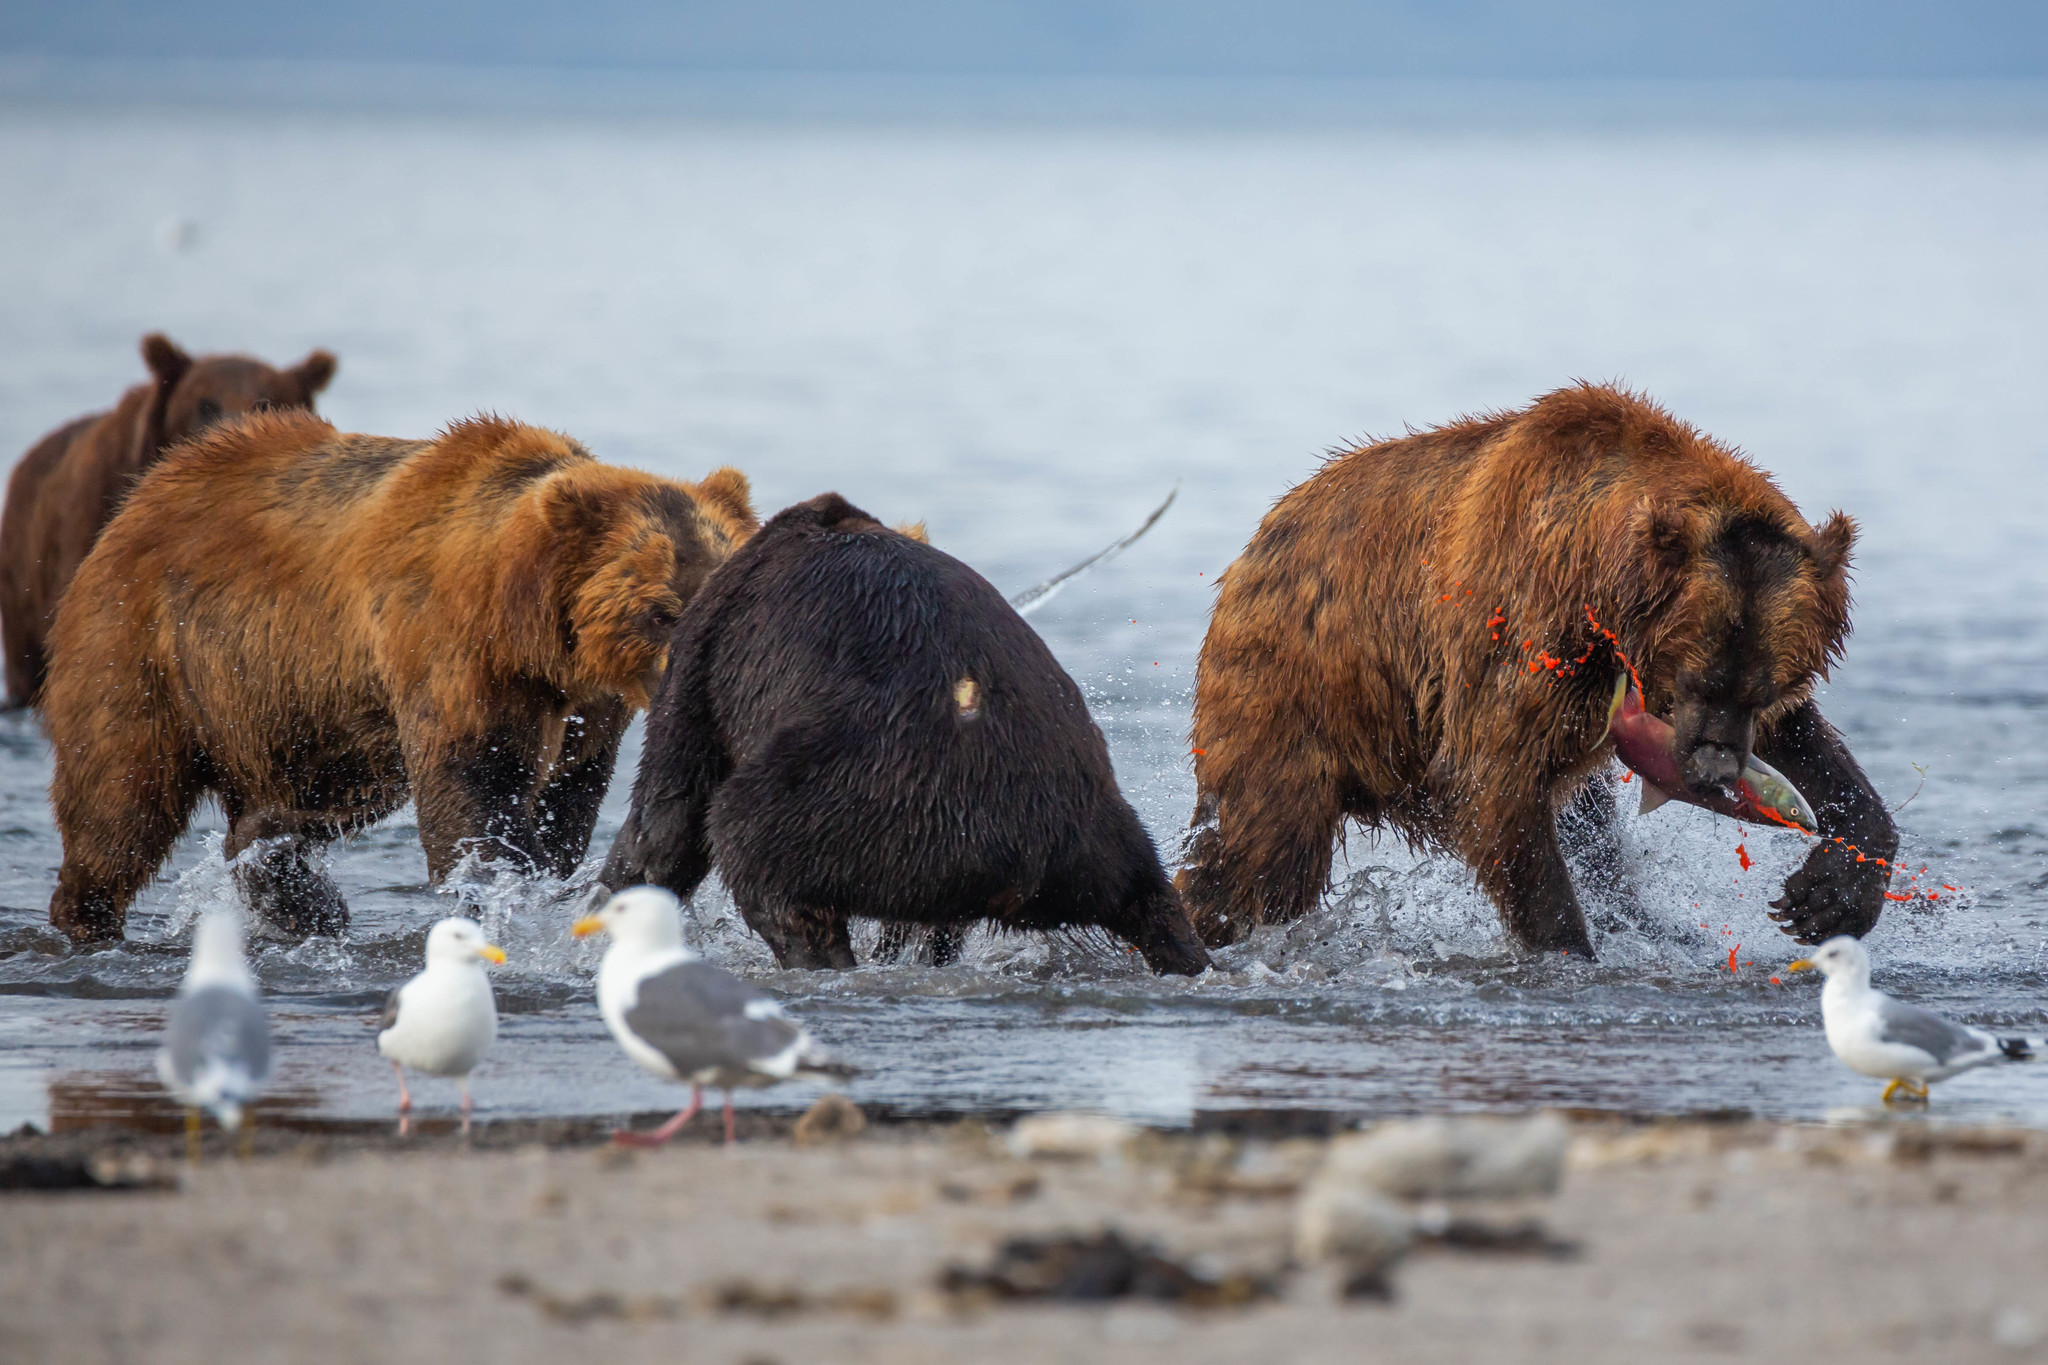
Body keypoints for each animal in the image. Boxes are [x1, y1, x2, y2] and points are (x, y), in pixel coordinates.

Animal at [39, 411, 757, 945]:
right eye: (661, 610)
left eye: (723, 589)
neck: (530, 630)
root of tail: (137, 497)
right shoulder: (456, 655)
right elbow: (474, 791)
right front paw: (499, 885)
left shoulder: (586, 708)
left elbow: (568, 795)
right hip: (147, 649)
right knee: (119, 795)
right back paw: (91, 915)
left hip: (301, 709)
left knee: (296, 804)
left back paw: (300, 898)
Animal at [602, 497, 1212, 978]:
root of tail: (1025, 851)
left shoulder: (711, 645)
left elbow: (668, 814)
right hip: (1092, 827)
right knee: (1148, 897)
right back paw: (1190, 956)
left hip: (856, 801)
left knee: (756, 855)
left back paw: (821, 960)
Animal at [1187, 382, 1900, 961]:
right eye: (1699, 679)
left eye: (1765, 688)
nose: (1715, 771)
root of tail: (1256, 542)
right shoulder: (1524, 626)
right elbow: (1495, 784)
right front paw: (1568, 947)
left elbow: (1811, 748)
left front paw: (1828, 893)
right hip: (1296, 692)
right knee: (1267, 851)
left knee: (1589, 823)